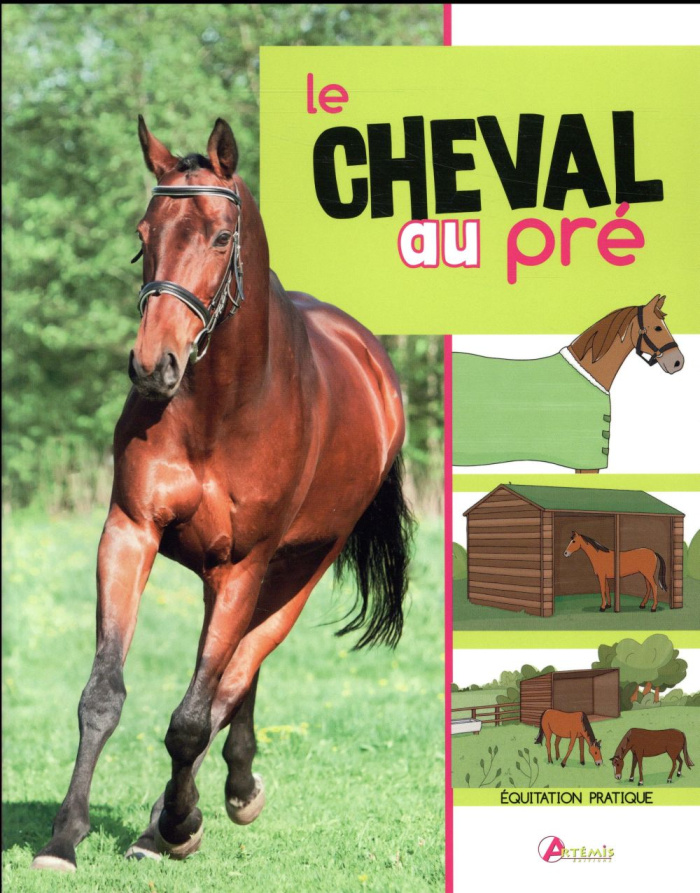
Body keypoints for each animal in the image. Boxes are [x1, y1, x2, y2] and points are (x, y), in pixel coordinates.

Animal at [31, 118, 414, 873]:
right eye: (144, 233)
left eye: (219, 237)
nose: (153, 366)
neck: (222, 409)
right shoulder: (130, 533)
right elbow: (103, 694)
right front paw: (64, 838)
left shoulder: (246, 563)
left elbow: (190, 716)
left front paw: (176, 825)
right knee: (231, 680)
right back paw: (221, 787)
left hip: (294, 570)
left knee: (235, 672)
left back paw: (192, 811)